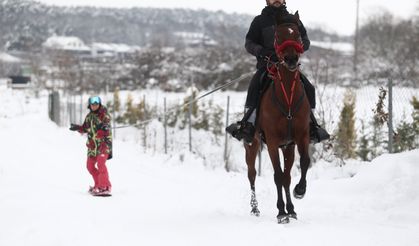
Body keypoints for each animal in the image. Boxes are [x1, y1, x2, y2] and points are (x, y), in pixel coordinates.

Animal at [244, 13, 310, 225]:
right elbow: (278, 176)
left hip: (286, 147)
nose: (291, 59)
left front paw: (299, 193)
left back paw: (291, 208)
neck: (287, 96)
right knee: (252, 174)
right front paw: (281, 212)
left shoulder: (299, 138)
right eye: (277, 35)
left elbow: (303, 163)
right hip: (253, 144)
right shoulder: (272, 142)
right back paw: (255, 208)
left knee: (287, 176)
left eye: (297, 34)